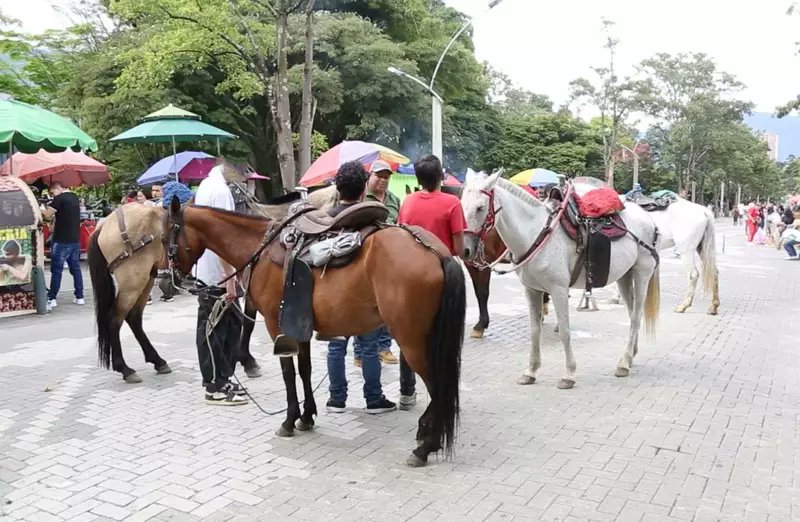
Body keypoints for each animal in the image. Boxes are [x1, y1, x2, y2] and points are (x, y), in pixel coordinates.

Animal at [166, 197, 466, 466]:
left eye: (168, 232)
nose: (169, 276)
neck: (260, 249)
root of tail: (434, 251)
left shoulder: (276, 325)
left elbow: (288, 373)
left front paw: (289, 420)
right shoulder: (300, 327)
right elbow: (305, 369)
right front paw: (307, 417)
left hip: (412, 340)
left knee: (438, 385)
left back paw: (426, 446)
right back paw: (426, 432)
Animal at [460, 171, 660, 386]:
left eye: (480, 208)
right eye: (461, 205)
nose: (465, 250)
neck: (535, 233)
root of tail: (648, 218)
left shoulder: (558, 290)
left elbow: (565, 330)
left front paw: (569, 374)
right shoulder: (532, 290)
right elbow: (535, 330)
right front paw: (531, 371)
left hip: (641, 273)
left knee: (636, 316)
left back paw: (624, 363)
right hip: (624, 276)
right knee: (631, 314)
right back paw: (630, 357)